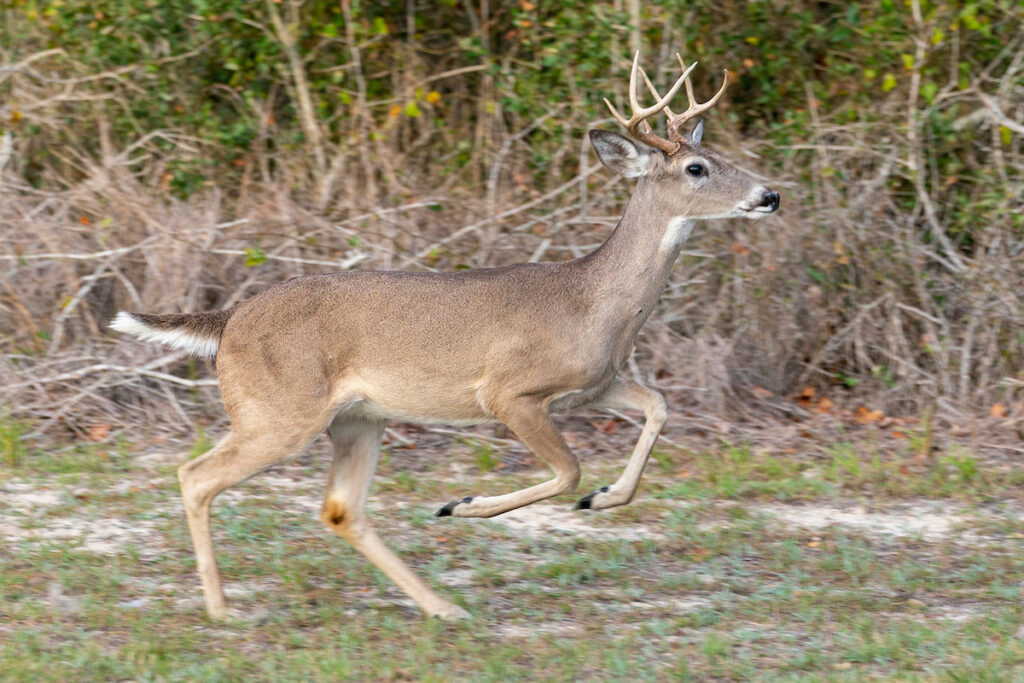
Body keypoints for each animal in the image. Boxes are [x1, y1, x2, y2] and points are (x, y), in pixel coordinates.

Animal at [112, 52, 778, 618]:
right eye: (697, 167)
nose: (769, 194)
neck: (592, 303)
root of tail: (229, 322)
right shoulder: (509, 391)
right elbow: (568, 470)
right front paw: (468, 505)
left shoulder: (595, 384)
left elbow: (658, 405)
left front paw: (602, 498)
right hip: (279, 410)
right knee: (196, 477)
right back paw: (222, 609)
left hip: (357, 418)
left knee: (340, 509)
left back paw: (441, 606)